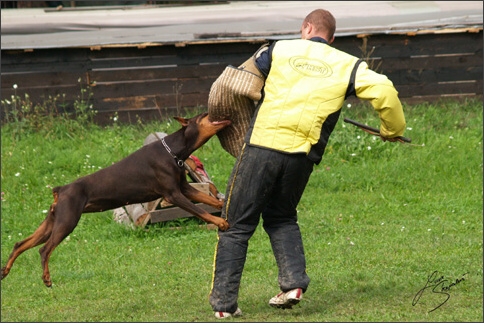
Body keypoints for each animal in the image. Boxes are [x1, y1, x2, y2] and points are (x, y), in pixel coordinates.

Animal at [0, 112, 231, 288]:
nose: (223, 113)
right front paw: (220, 222)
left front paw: (222, 205)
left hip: (52, 221)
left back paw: (5, 270)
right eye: (205, 114)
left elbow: (207, 200)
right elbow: (201, 210)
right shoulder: (173, 194)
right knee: (44, 249)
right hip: (67, 221)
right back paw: (46, 279)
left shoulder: (185, 188)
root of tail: (61, 190)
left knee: (20, 244)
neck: (174, 150)